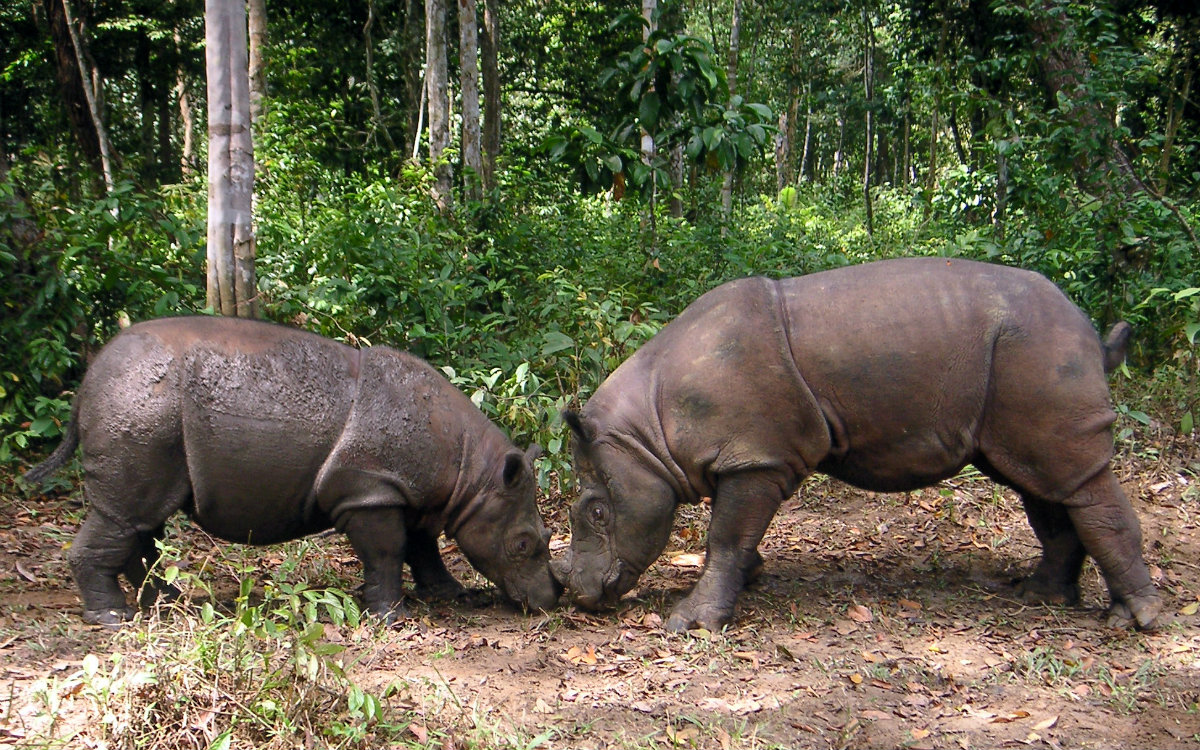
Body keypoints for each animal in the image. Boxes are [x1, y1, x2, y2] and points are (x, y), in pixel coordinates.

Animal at [24, 316, 561, 625]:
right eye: (522, 545)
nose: (552, 599)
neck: (473, 476)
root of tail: (90, 377)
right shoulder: (369, 490)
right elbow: (389, 552)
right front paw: (392, 618)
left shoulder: (410, 493)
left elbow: (423, 547)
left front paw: (453, 594)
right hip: (138, 404)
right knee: (125, 515)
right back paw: (113, 619)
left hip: (142, 411)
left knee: (143, 520)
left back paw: (168, 604)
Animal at [559, 257, 1161, 633]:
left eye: (595, 513)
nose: (578, 596)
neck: (648, 438)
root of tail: (1089, 332)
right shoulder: (751, 455)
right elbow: (737, 536)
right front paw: (750, 579)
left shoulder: (757, 458)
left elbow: (724, 536)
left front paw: (690, 622)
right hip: (1024, 365)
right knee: (1040, 481)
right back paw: (1040, 597)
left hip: (1039, 349)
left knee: (1071, 479)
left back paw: (1134, 622)